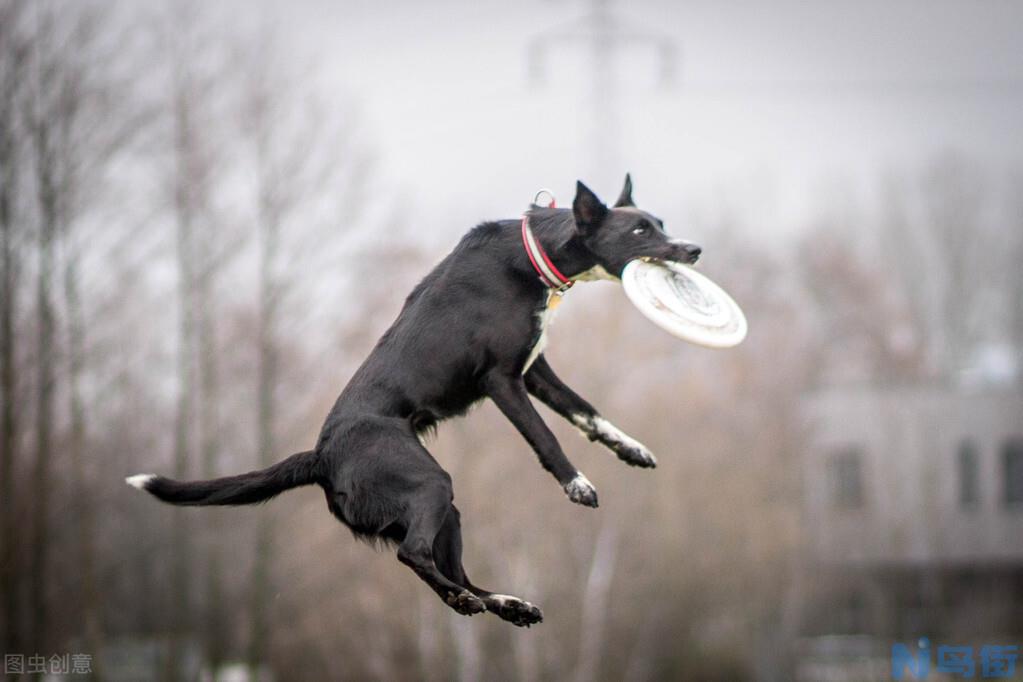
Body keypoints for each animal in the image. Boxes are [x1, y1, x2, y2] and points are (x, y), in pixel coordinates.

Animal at [125, 177, 703, 629]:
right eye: (640, 231)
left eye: (660, 222)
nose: (694, 249)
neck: (532, 254)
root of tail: (321, 455)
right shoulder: (502, 381)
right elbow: (547, 436)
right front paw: (576, 484)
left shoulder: (534, 371)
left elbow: (586, 411)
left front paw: (630, 449)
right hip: (429, 483)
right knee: (413, 554)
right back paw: (469, 601)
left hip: (447, 510)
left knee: (455, 571)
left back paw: (504, 604)